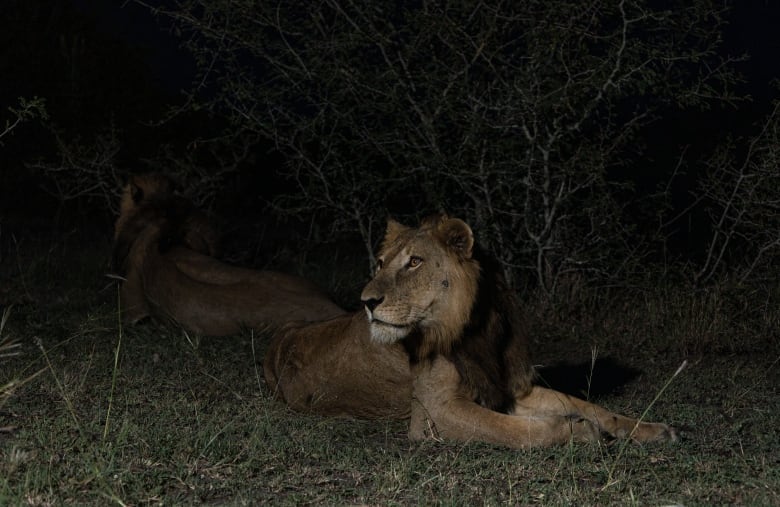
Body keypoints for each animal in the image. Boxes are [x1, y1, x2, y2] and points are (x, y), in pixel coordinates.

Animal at [264, 214, 676, 448]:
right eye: (380, 263)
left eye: (414, 262)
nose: (366, 301)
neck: (477, 331)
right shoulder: (436, 412)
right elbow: (514, 431)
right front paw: (577, 432)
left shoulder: (509, 388)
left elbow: (592, 406)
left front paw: (652, 429)